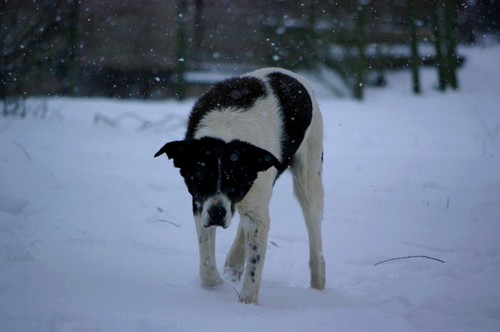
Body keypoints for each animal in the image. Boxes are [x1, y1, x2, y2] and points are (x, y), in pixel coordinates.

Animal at [155, 67, 324, 304]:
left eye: (233, 183)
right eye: (201, 180)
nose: (217, 214)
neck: (226, 128)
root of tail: (290, 73)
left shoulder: (255, 209)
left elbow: (253, 269)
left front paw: (246, 305)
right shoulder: (200, 205)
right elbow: (207, 268)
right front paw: (218, 283)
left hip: (308, 177)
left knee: (314, 229)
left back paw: (318, 285)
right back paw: (233, 263)